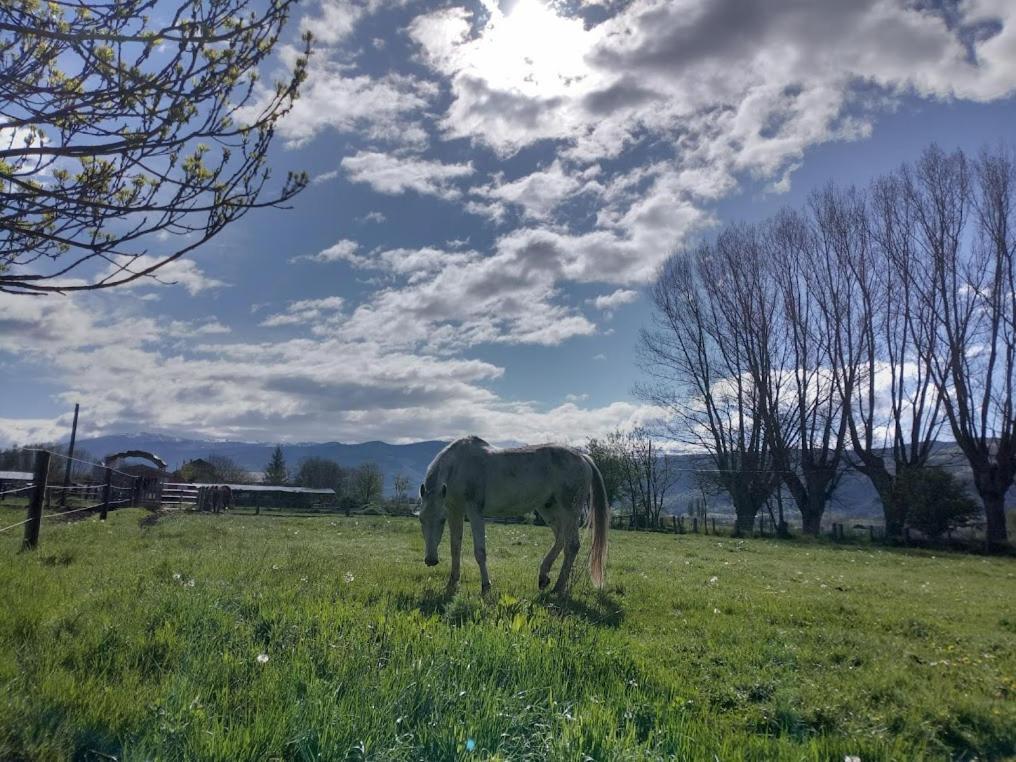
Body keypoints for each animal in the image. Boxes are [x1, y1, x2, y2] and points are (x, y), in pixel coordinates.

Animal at [416, 434, 605, 597]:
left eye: (441, 520)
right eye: (421, 519)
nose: (430, 560)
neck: (458, 466)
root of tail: (583, 457)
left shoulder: (474, 512)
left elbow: (480, 552)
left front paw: (486, 587)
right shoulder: (455, 512)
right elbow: (455, 548)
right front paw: (452, 584)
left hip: (569, 511)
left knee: (572, 545)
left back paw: (558, 588)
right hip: (549, 509)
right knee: (561, 539)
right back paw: (544, 578)